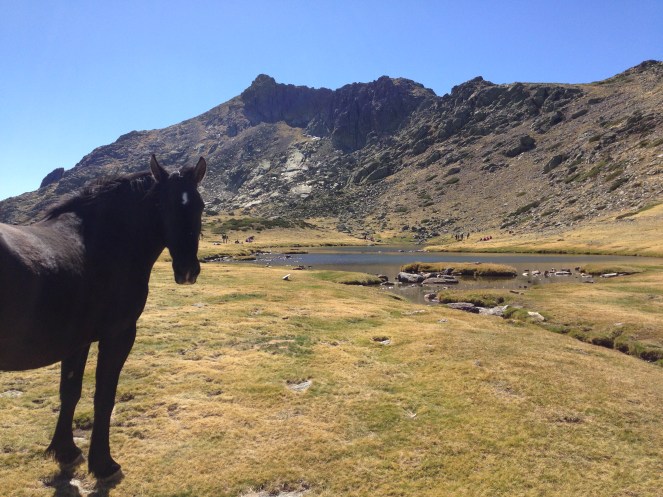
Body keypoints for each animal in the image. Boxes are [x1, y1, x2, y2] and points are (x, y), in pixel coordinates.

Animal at [0, 154, 206, 480]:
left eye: (200, 206)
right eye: (162, 205)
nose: (187, 270)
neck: (105, 242)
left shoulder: (76, 342)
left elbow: (70, 391)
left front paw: (64, 450)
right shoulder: (118, 335)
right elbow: (104, 397)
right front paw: (103, 463)